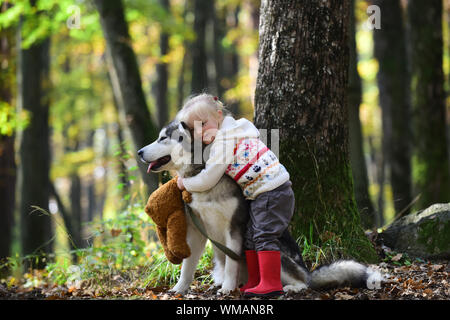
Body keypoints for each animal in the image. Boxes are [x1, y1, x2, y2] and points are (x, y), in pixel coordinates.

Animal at [138, 120, 384, 296]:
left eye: (162, 138)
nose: (139, 152)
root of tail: (307, 270)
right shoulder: (197, 231)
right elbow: (187, 266)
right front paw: (179, 290)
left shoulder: (233, 228)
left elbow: (231, 264)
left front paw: (227, 289)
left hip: (282, 257)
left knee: (302, 281)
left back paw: (288, 287)